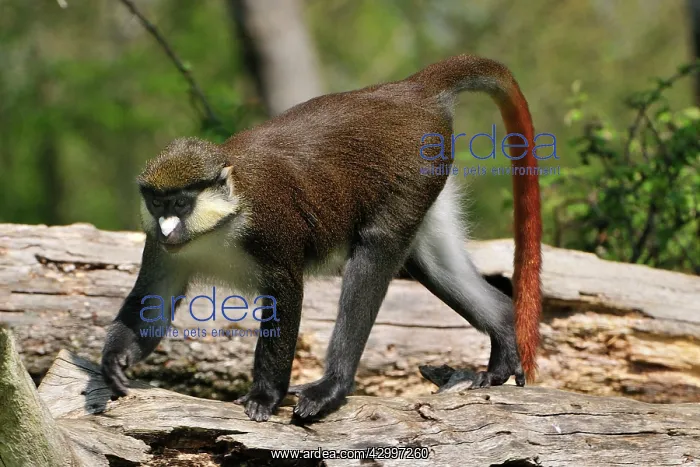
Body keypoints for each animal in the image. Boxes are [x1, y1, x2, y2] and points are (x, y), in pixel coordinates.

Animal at [101, 54, 542, 423]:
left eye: (181, 202)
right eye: (157, 204)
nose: (168, 227)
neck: (223, 220)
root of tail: (409, 89)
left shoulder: (271, 230)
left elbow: (287, 295)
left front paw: (264, 396)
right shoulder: (160, 248)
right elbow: (154, 296)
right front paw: (114, 360)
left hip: (413, 171)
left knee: (376, 250)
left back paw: (333, 386)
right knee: (431, 263)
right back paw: (505, 338)